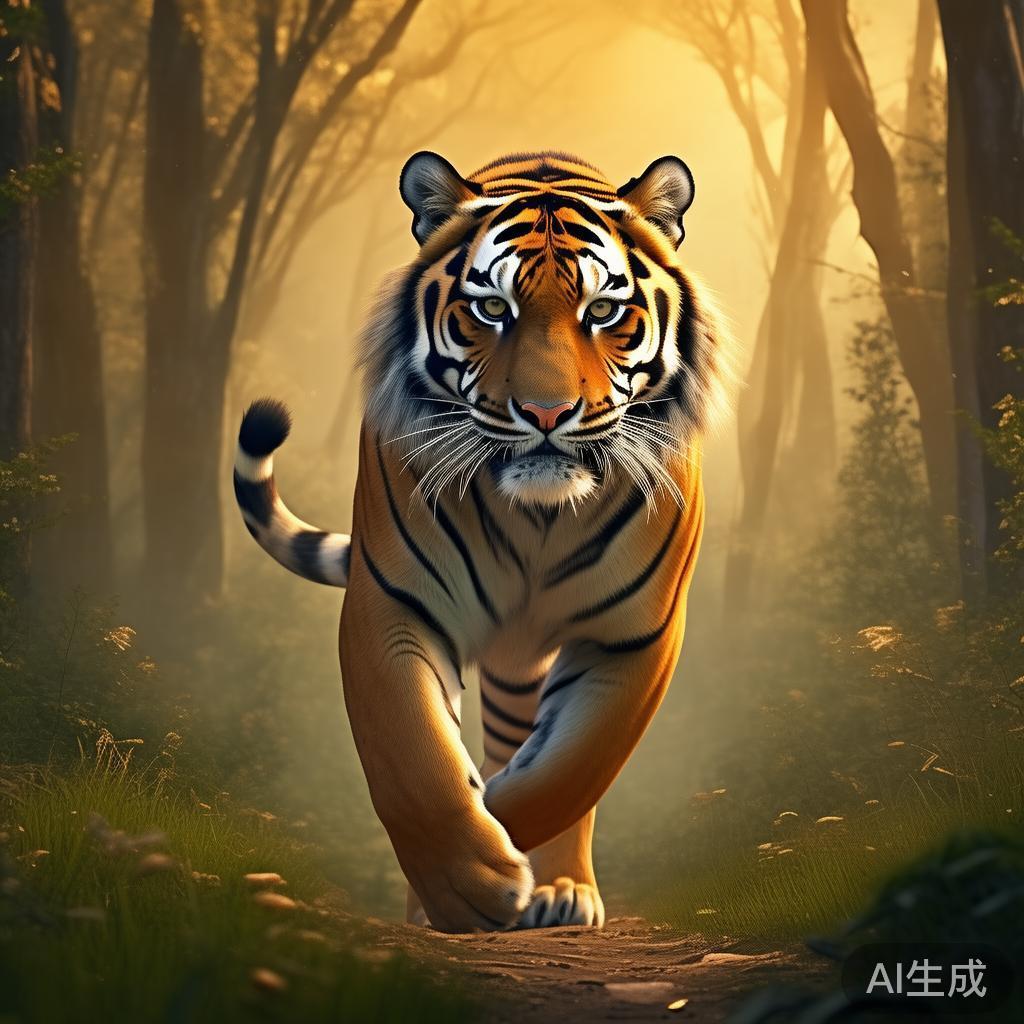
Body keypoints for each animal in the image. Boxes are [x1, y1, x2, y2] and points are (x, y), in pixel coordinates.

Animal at [233, 150, 731, 932]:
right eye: (492, 310)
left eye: (603, 312)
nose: (547, 413)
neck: (539, 517)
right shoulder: (394, 605)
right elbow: (414, 758)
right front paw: (464, 883)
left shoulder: (635, 633)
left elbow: (574, 769)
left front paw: (506, 842)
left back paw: (560, 890)